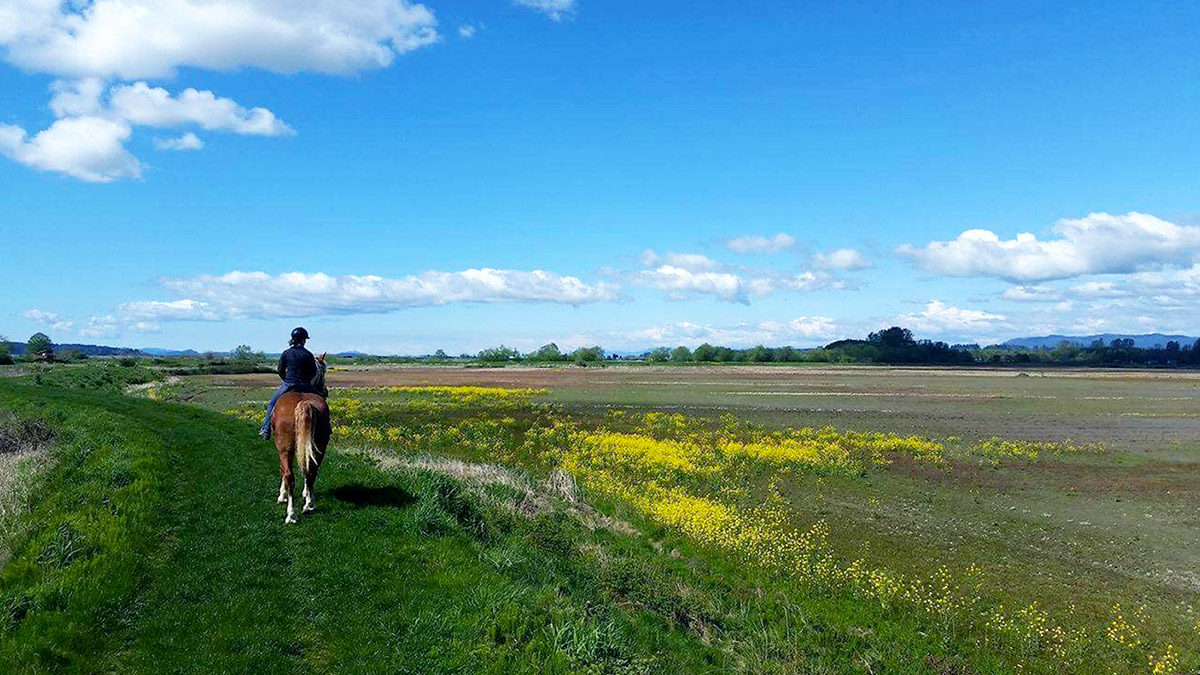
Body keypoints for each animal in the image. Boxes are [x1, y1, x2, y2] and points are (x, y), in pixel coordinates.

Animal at [270, 355, 328, 523]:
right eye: (324, 371)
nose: (325, 391)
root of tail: (304, 403)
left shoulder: (282, 450)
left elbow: (283, 470)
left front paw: (282, 496)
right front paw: (306, 494)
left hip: (285, 448)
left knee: (289, 475)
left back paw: (291, 514)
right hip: (320, 446)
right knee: (311, 471)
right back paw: (309, 505)